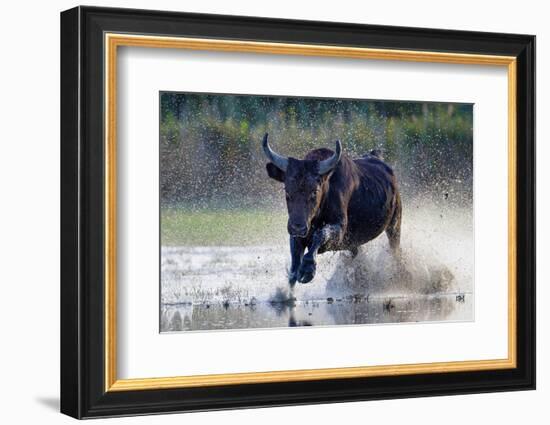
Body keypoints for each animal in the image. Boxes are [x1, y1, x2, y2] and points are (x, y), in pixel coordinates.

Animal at [264, 132, 402, 284]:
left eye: (314, 191)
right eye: (287, 191)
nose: (298, 228)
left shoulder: (339, 230)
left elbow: (320, 235)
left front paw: (308, 268)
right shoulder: (296, 235)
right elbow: (294, 265)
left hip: (394, 225)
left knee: (395, 249)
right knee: (356, 253)